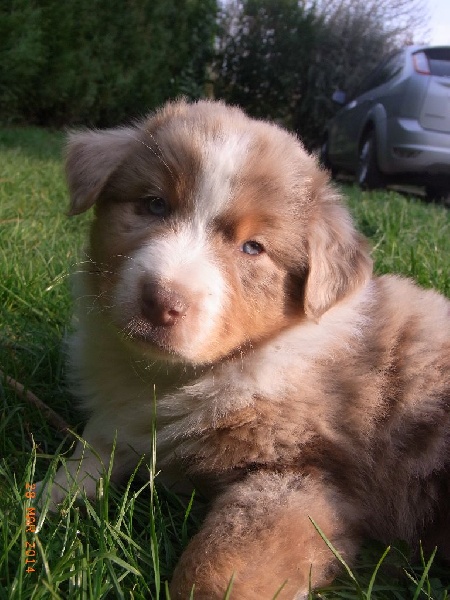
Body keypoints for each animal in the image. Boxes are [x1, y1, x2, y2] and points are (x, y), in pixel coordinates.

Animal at [39, 100, 450, 599]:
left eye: (253, 248)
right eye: (154, 204)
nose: (161, 301)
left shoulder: (303, 477)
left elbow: (215, 567)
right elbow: (91, 453)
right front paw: (40, 499)